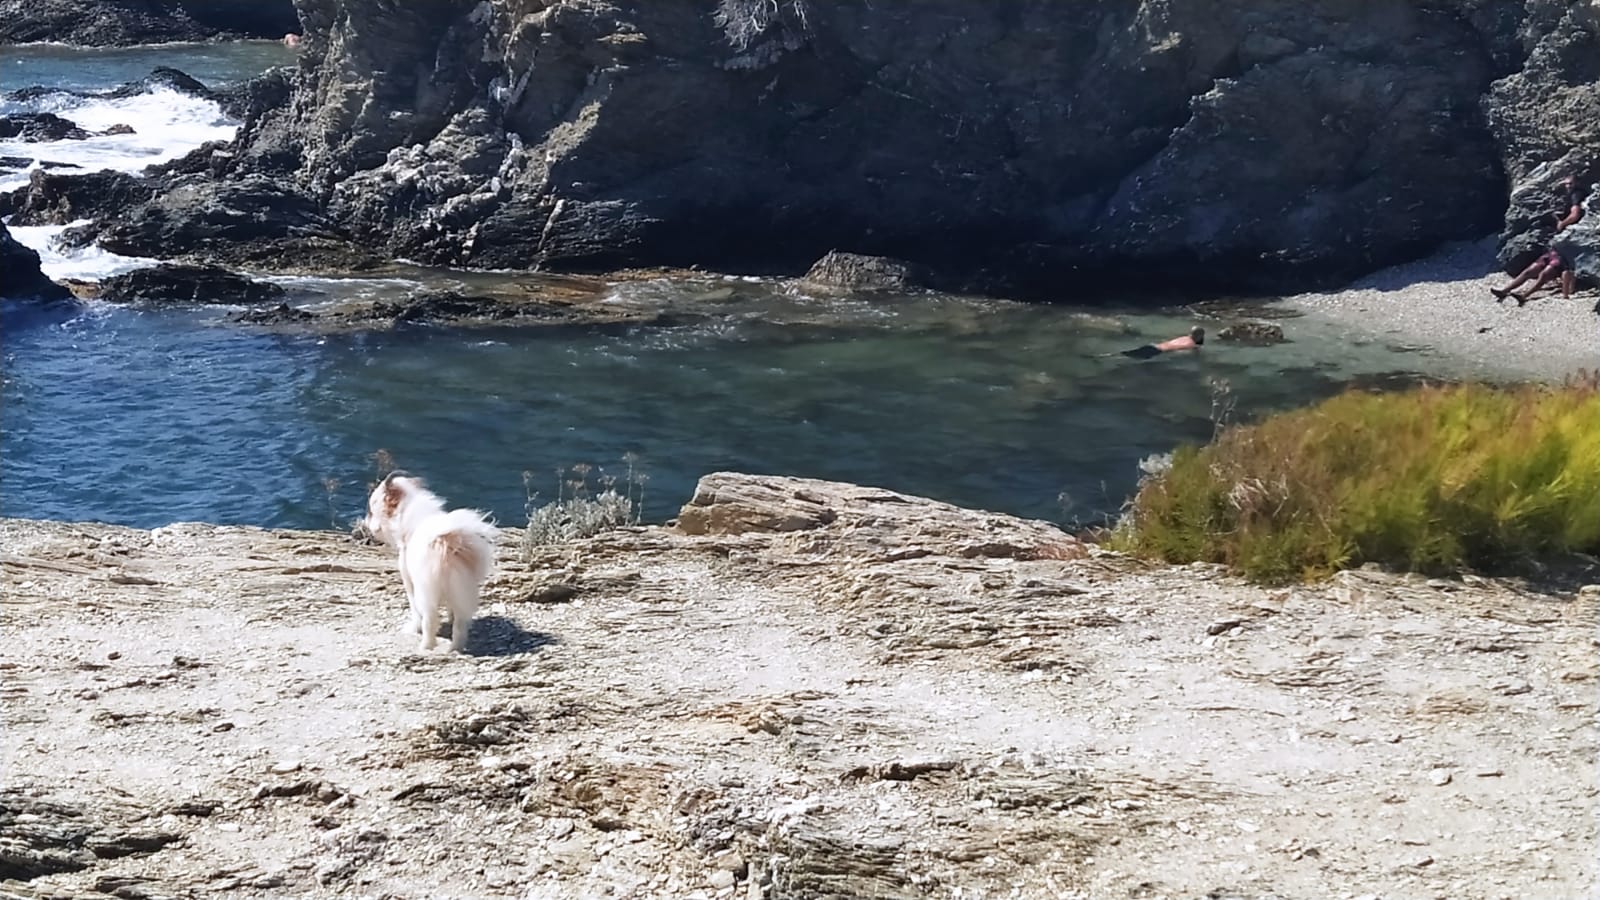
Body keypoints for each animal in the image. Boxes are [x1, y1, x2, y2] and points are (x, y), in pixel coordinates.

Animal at [363, 472, 498, 653]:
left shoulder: (409, 582)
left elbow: (415, 612)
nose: (366, 521)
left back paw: (426, 646)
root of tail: (446, 543)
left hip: (426, 593)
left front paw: (413, 629)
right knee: (460, 624)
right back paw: (455, 648)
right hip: (461, 590)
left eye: (371, 511)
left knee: (429, 620)